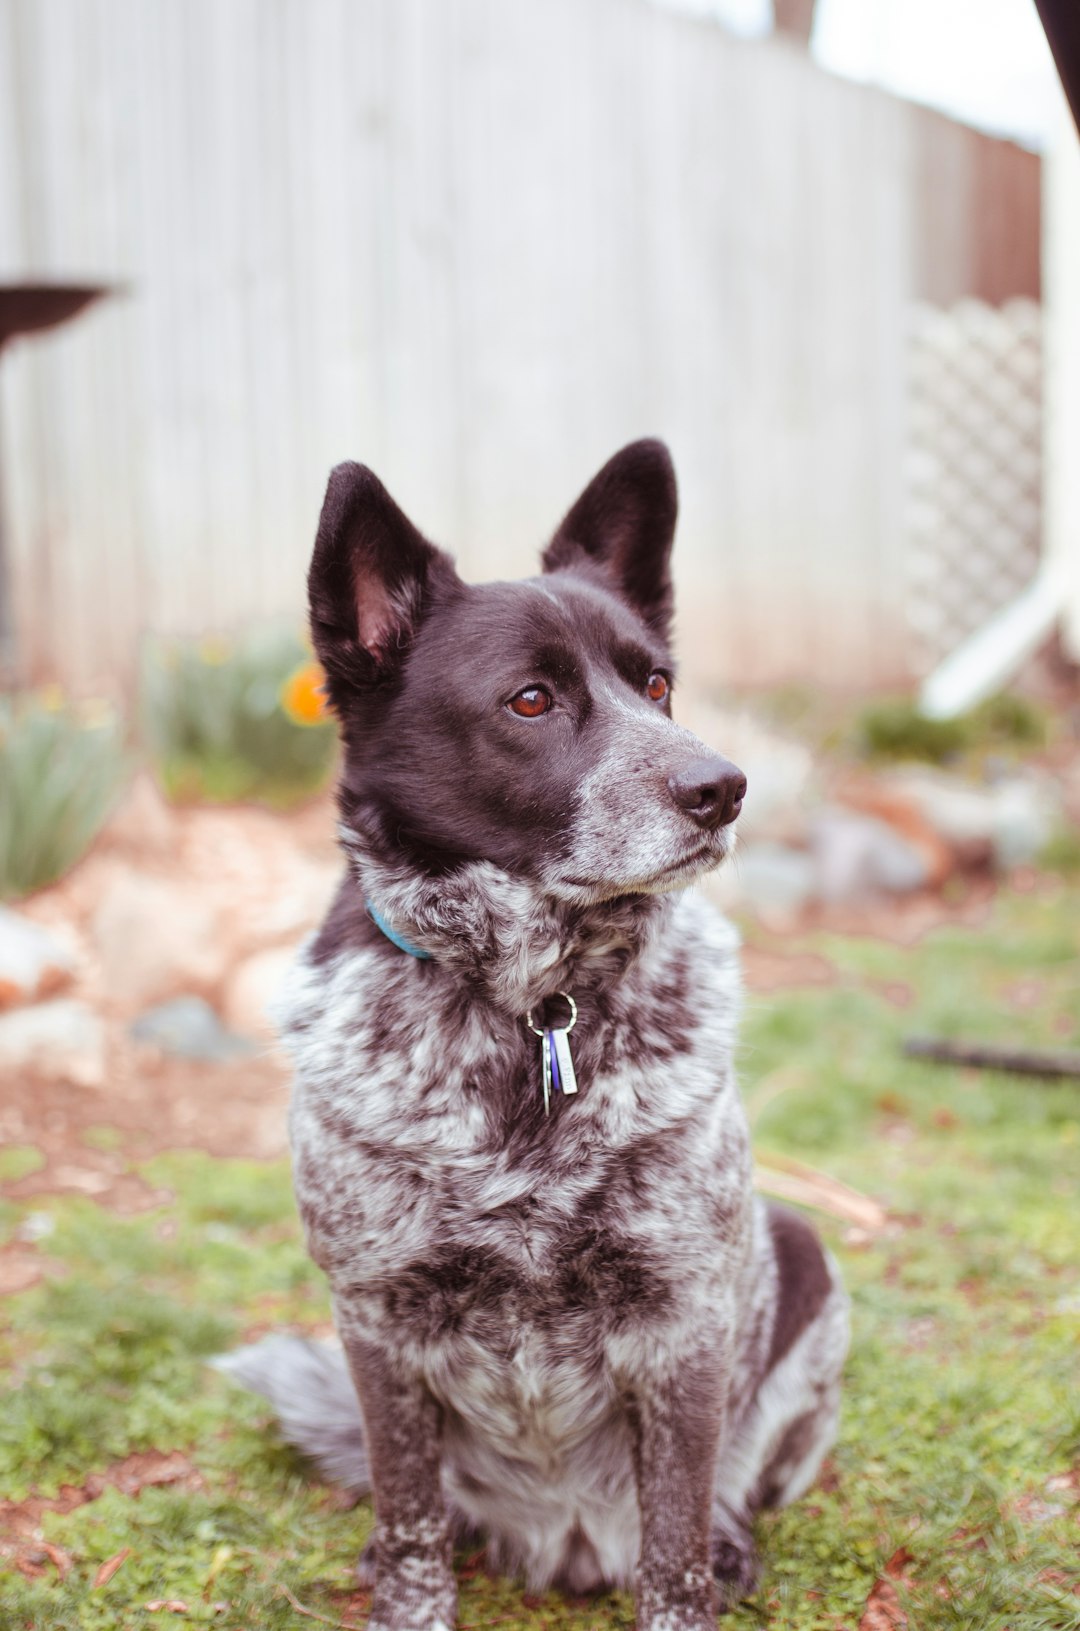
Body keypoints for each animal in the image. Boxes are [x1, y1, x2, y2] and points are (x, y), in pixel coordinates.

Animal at [218, 440, 848, 1624]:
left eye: (657, 684)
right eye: (531, 699)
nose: (724, 786)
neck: (531, 1000)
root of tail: (563, 1540)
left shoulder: (684, 1317)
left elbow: (674, 1545)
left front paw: (695, 1568)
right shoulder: (378, 1315)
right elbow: (412, 1521)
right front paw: (407, 1597)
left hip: (802, 1256)